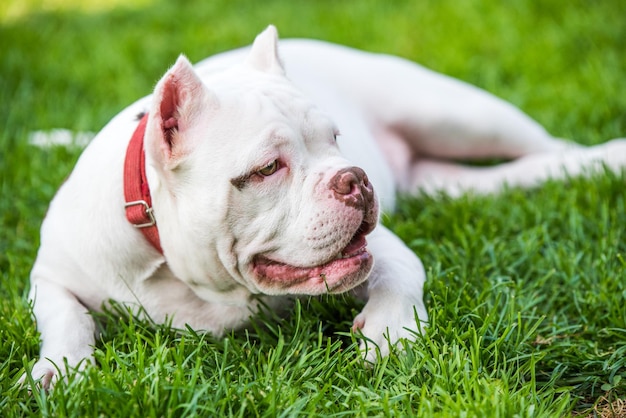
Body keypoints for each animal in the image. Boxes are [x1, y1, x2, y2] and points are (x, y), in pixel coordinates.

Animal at [24, 25, 624, 388]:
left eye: (335, 138)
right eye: (268, 169)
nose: (354, 178)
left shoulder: (382, 250)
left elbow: (401, 271)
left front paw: (389, 333)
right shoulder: (51, 272)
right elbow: (65, 314)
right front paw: (60, 370)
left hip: (457, 114)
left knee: (550, 148)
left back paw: (602, 158)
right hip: (447, 175)